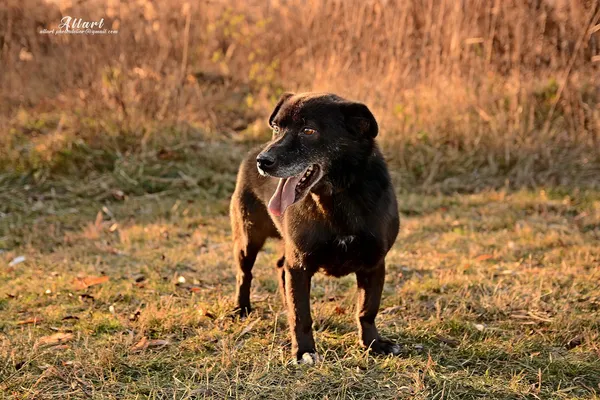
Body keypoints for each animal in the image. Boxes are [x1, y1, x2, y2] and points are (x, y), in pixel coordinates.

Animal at [232, 92, 400, 360]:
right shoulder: (299, 266)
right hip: (248, 239)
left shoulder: (374, 263)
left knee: (279, 268)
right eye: (276, 127)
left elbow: (367, 309)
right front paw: (304, 351)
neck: (337, 198)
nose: (263, 162)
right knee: (244, 274)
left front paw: (373, 343)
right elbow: (301, 315)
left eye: (308, 131)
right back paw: (241, 308)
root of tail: (252, 151)